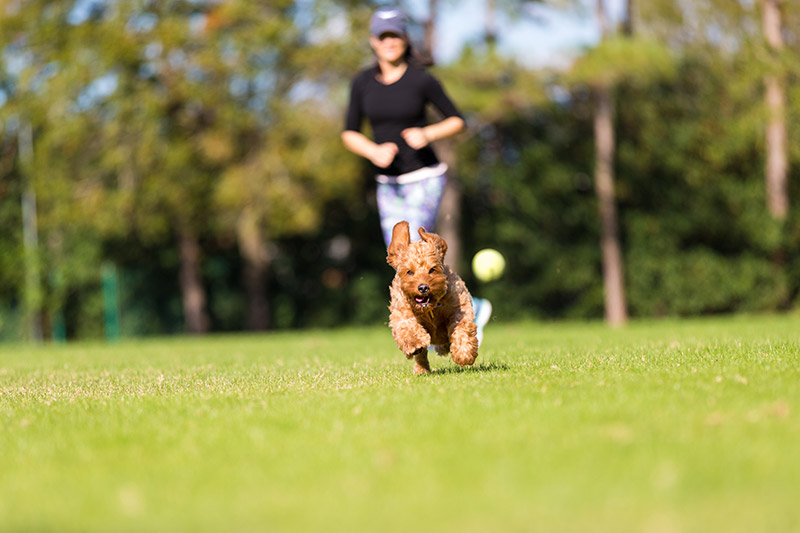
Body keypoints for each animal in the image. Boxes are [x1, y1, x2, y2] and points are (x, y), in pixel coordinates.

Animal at [386, 220, 478, 374]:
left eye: (432, 269)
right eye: (409, 272)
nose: (423, 287)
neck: (430, 308)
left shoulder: (459, 306)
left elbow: (462, 327)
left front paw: (464, 353)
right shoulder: (401, 312)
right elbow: (407, 326)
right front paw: (415, 343)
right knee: (422, 355)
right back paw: (421, 369)